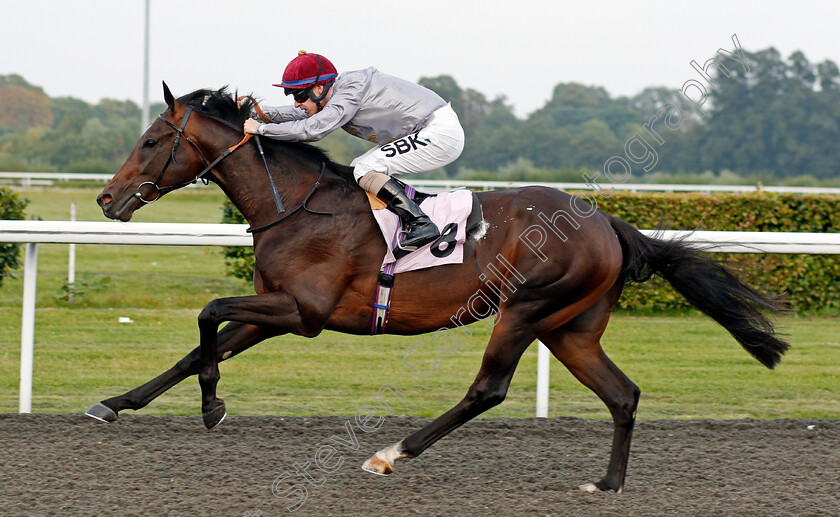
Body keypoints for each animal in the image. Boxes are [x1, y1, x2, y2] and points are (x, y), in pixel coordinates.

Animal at [92, 83, 788, 492]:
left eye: (151, 141)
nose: (105, 198)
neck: (294, 205)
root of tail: (606, 222)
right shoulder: (273, 311)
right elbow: (197, 345)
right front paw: (116, 403)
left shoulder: (302, 311)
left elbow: (207, 312)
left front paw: (212, 405)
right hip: (570, 327)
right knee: (624, 394)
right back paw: (608, 483)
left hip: (526, 308)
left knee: (488, 389)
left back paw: (393, 452)